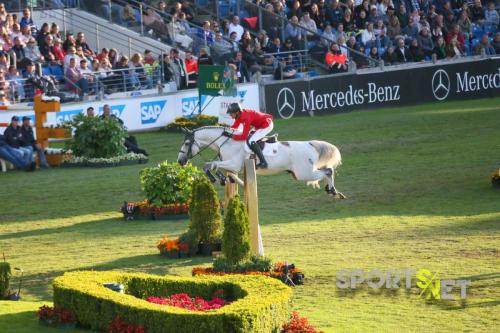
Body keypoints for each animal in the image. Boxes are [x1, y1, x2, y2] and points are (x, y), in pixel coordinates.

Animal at [178, 124, 346, 197]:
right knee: (326, 171)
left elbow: (209, 164)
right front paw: (220, 178)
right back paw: (331, 191)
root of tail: (309, 144)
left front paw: (214, 178)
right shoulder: (232, 167)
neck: (226, 141)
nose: (180, 161)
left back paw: (333, 191)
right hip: (300, 173)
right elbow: (216, 167)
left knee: (328, 171)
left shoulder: (234, 164)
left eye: (186, 143)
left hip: (303, 173)